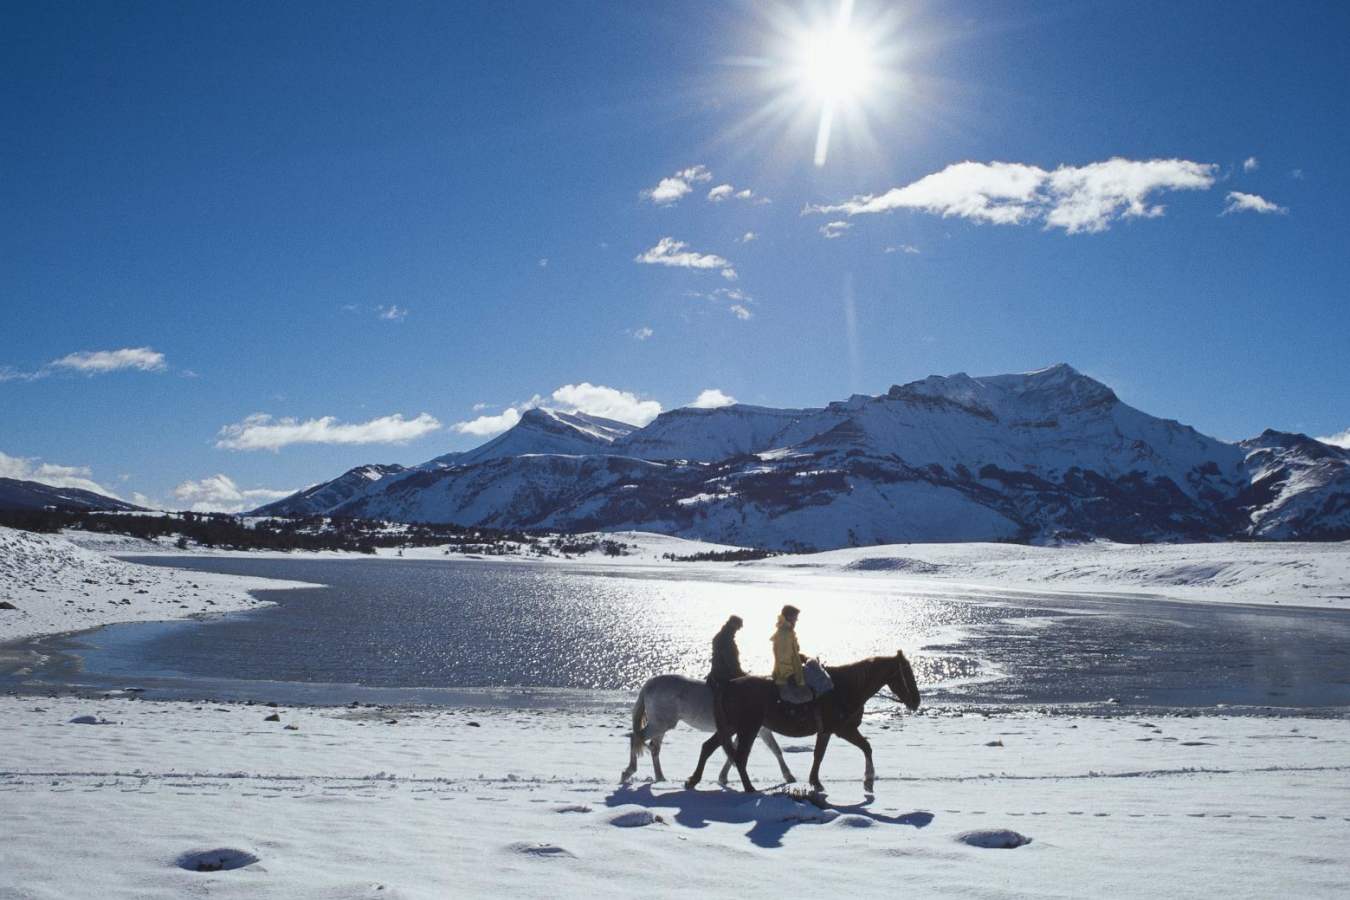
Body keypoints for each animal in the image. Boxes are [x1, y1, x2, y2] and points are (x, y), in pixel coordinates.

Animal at [621, 674, 797, 786]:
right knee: (636, 738)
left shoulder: (760, 729)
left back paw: (660, 777)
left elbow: (775, 750)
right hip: (660, 724)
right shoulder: (750, 729)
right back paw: (628, 772)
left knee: (654, 748)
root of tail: (649, 684)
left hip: (661, 726)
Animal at [684, 650, 920, 794]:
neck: (844, 687)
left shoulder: (837, 731)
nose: (916, 701)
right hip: (747, 728)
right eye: (906, 673)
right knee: (740, 757)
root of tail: (728, 684)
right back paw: (749, 788)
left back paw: (693, 780)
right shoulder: (837, 730)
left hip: (733, 726)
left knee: (709, 747)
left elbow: (859, 748)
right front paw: (864, 777)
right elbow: (827, 753)